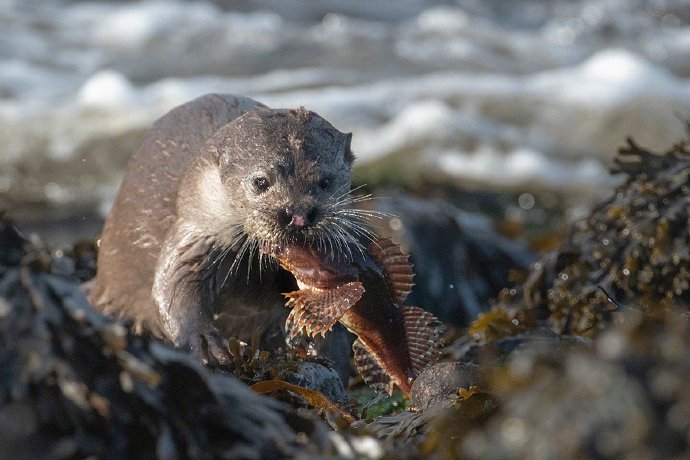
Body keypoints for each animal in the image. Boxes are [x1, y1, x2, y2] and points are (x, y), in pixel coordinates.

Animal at [87, 94, 360, 366]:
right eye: (261, 181)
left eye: (325, 182)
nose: (298, 215)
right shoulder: (196, 230)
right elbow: (174, 284)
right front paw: (204, 341)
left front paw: (324, 345)